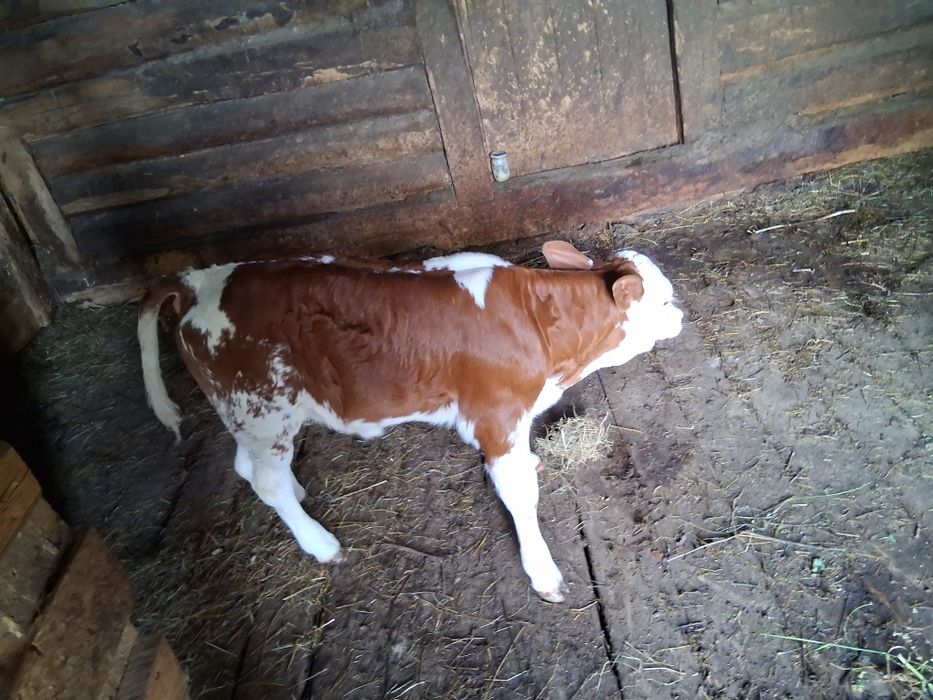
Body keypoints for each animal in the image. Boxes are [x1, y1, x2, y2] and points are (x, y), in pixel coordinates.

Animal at [137, 240, 682, 602]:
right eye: (661, 300)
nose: (681, 316)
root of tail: (198, 280)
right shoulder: (496, 415)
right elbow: (520, 497)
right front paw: (543, 573)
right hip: (261, 405)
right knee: (265, 480)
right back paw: (320, 543)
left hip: (248, 411)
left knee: (249, 468)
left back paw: (297, 491)